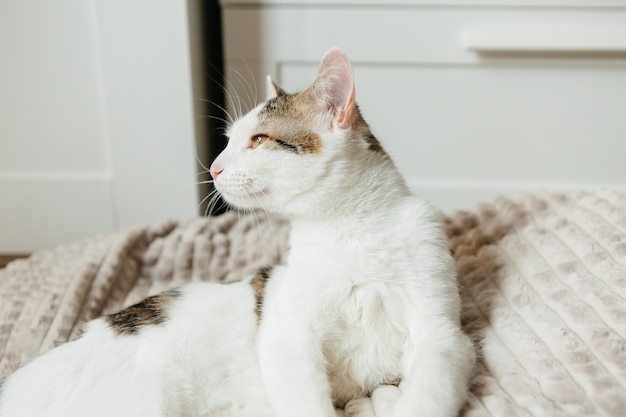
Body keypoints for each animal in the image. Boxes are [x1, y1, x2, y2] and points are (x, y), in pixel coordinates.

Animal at [0, 48, 472, 416]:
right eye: (228, 140)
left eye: (259, 139)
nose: (213, 168)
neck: (350, 231)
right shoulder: (287, 337)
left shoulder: (442, 334)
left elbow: (429, 392)